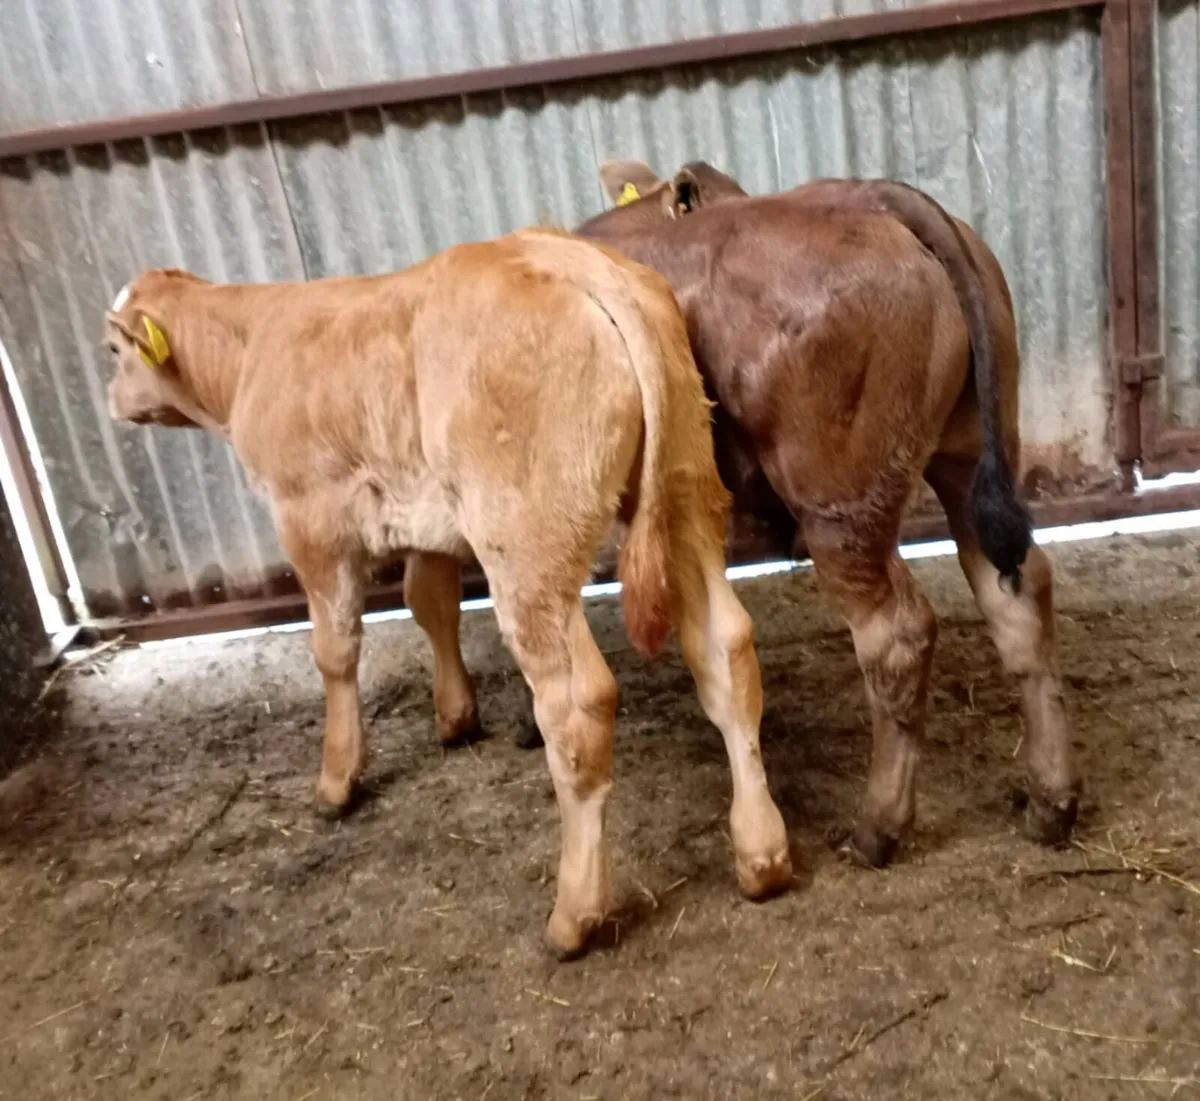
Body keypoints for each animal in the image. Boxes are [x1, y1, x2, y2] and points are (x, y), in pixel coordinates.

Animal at [102, 229, 791, 958]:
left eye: (113, 351)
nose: (111, 402)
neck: (251, 347)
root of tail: (574, 260)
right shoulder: (421, 519)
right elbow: (429, 604)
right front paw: (454, 716)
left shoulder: (309, 519)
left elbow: (335, 650)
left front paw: (337, 779)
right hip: (687, 486)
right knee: (726, 650)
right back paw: (762, 854)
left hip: (526, 541)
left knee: (576, 705)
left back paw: (575, 912)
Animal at [567, 160, 1081, 867]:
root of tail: (871, 197)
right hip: (969, 452)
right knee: (1021, 593)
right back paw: (1051, 803)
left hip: (839, 504)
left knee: (897, 637)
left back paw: (878, 828)